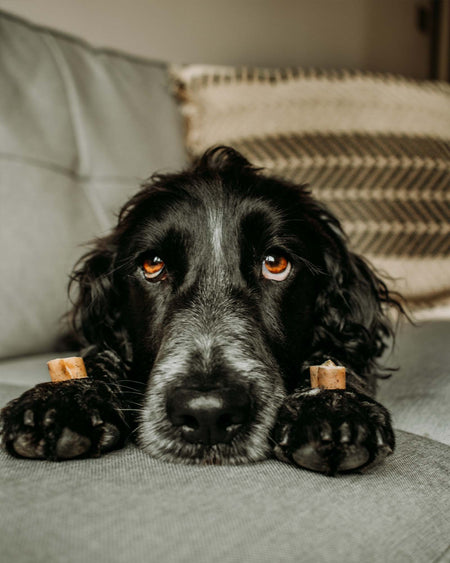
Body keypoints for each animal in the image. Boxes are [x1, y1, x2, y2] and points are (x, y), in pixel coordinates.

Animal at [0, 148, 400, 474]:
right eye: (153, 265)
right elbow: (96, 356)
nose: (208, 413)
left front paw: (334, 407)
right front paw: (62, 398)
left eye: (276, 263)